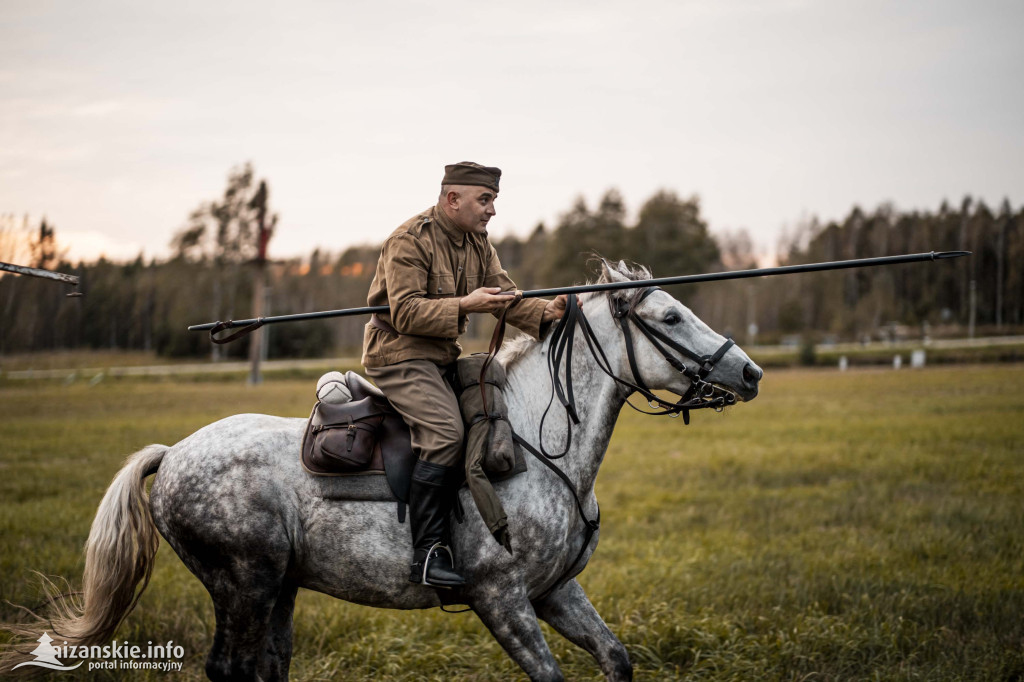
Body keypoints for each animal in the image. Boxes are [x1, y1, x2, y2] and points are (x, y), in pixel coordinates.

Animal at [2, 259, 761, 675]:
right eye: (670, 316)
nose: (750, 372)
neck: (540, 445)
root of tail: (173, 452)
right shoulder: (502, 599)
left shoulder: (556, 592)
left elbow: (616, 658)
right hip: (243, 584)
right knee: (230, 668)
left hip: (279, 587)